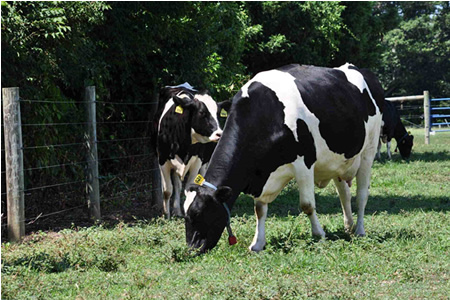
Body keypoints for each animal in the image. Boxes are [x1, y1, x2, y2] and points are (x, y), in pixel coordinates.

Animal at [155, 83, 230, 217]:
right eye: (202, 112)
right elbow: (167, 190)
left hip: (205, 161)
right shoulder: (162, 159)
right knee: (177, 185)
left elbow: (189, 189)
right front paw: (166, 215)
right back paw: (176, 210)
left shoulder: (197, 161)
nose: (219, 134)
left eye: (218, 113)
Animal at [183, 63, 384, 253]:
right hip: (338, 161)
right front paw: (257, 244)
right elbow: (260, 208)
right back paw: (349, 227)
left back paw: (359, 230)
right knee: (344, 194)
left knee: (361, 195)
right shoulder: (263, 174)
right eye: (185, 215)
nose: (192, 249)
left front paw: (319, 235)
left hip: (368, 150)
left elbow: (307, 204)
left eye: (200, 213)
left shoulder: (304, 163)